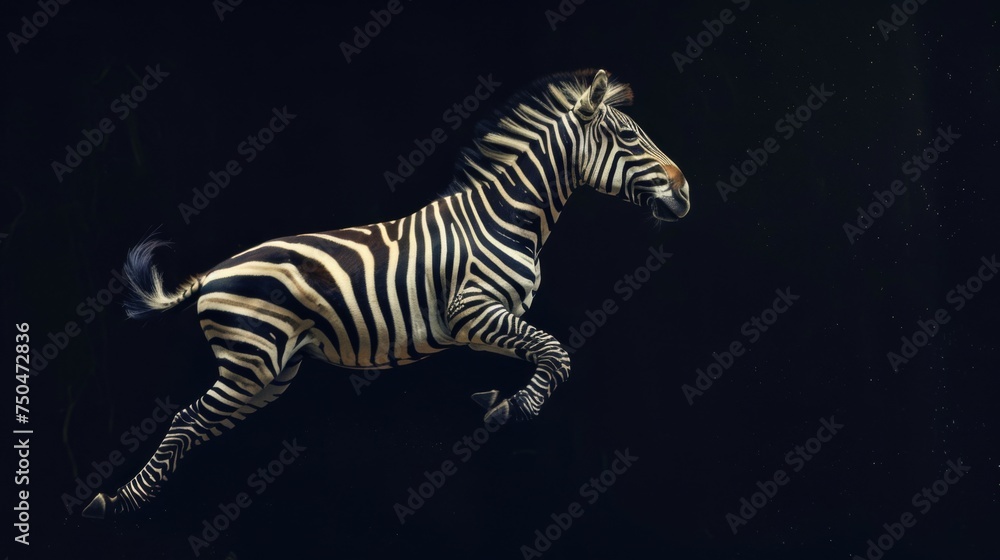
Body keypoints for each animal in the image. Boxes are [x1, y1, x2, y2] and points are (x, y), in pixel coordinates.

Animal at [81, 68, 690, 519]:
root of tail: (211, 275)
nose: (686, 191)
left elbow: (545, 357)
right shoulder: (471, 311)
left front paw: (501, 401)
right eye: (630, 137)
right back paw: (118, 507)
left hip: (269, 374)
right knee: (184, 421)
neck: (506, 215)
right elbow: (557, 355)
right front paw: (509, 408)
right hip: (251, 366)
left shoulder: (487, 324)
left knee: (195, 427)